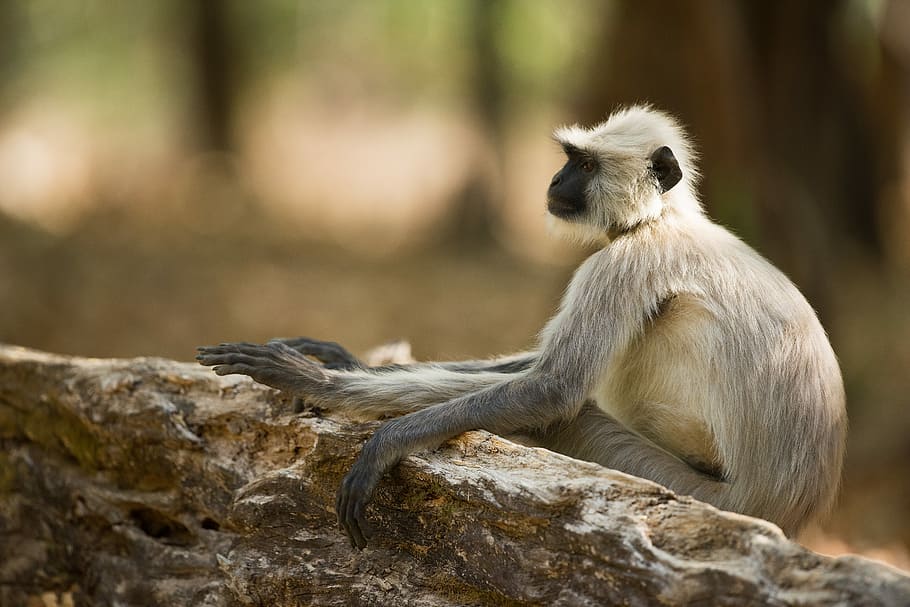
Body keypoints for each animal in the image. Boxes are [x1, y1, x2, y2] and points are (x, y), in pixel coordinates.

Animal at [197, 105, 847, 549]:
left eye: (582, 165)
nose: (555, 182)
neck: (661, 218)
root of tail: (789, 514)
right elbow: (533, 371)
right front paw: (335, 359)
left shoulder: (623, 262)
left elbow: (551, 389)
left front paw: (345, 405)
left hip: (691, 490)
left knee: (571, 413)